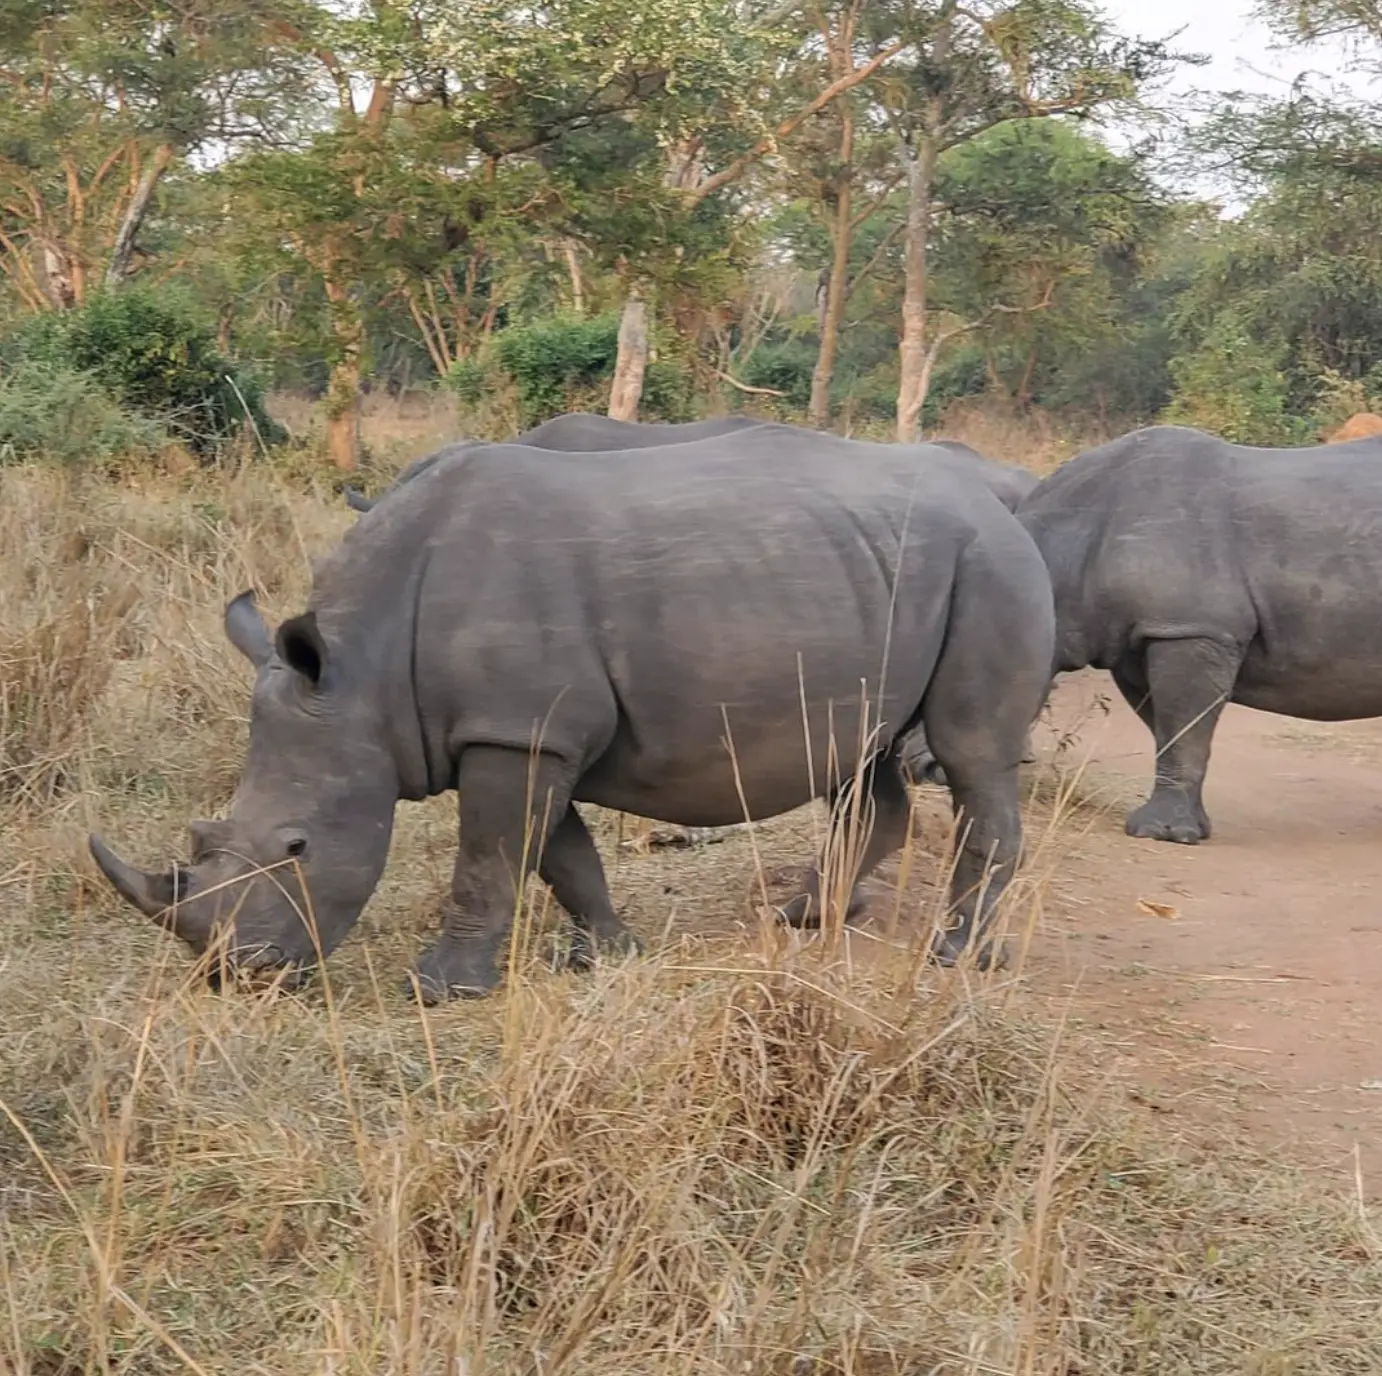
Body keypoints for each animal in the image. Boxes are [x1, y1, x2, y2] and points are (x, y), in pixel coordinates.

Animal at [90, 428, 1054, 1002]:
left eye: (297, 847)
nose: (236, 972)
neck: (361, 669)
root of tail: (1007, 507)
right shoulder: (524, 730)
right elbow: (560, 852)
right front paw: (611, 953)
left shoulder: (515, 730)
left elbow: (488, 860)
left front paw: (441, 990)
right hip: (877, 576)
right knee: (865, 760)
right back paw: (806, 919)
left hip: (991, 570)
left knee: (972, 756)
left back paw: (955, 955)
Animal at [1016, 423, 1382, 843]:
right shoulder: (1141, 638)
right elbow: (1167, 730)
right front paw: (1192, 828)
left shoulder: (1191, 628)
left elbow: (1181, 729)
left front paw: (1160, 834)